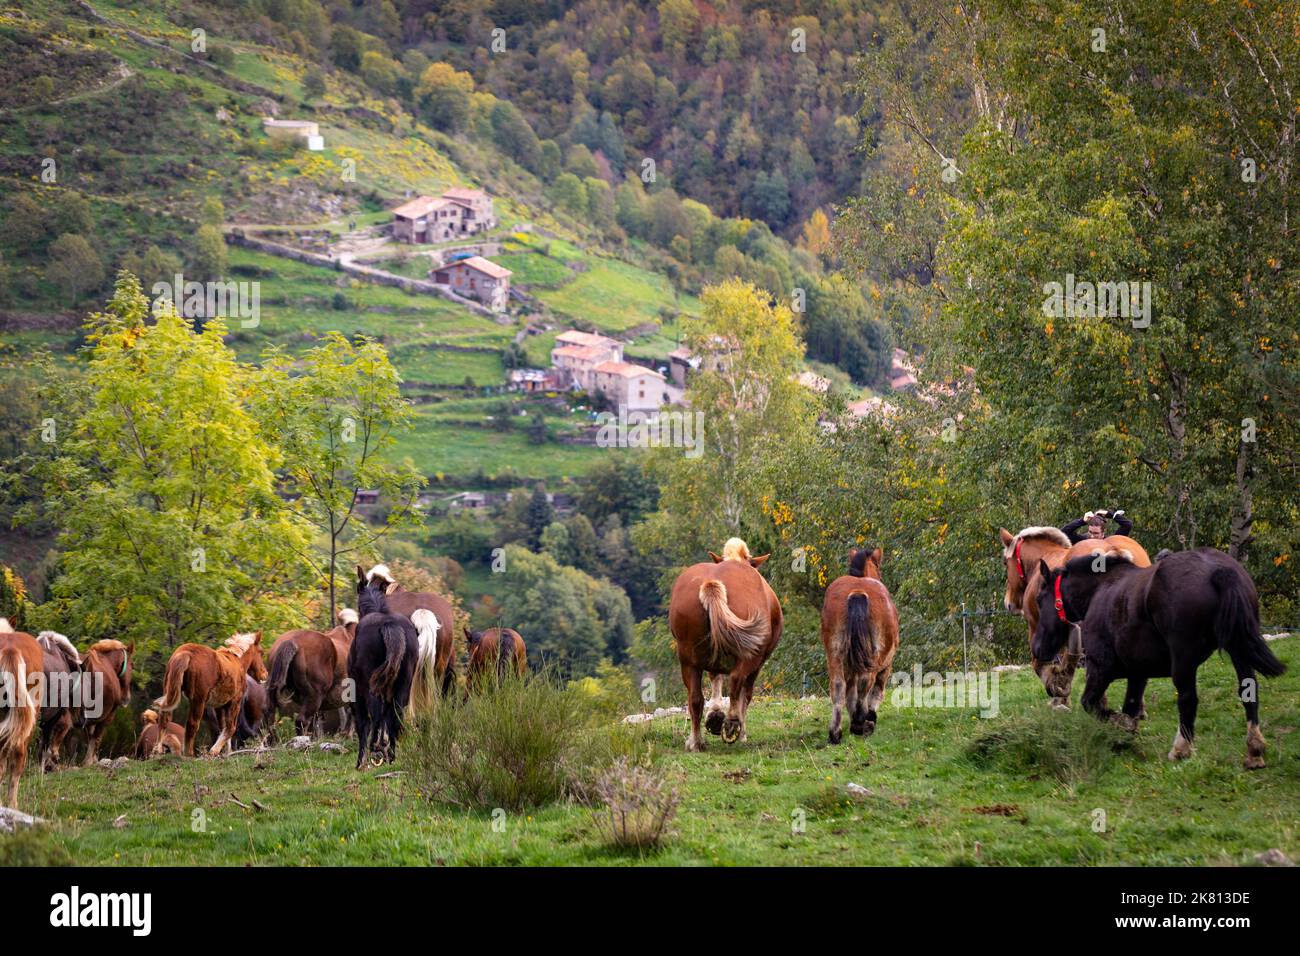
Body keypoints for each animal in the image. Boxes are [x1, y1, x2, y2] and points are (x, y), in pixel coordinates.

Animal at [349, 568, 418, 768]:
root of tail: (389, 625)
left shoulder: (357, 692)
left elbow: (363, 724)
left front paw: (361, 761)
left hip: (371, 685)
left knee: (375, 713)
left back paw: (376, 748)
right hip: (403, 684)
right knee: (396, 717)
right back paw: (390, 755)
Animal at [668, 537, 783, 751]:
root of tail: (712, 584)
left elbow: (715, 677)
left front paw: (714, 714)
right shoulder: (756, 665)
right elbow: (745, 694)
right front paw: (741, 730)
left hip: (687, 658)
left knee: (695, 698)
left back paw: (696, 742)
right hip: (750, 654)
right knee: (737, 681)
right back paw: (732, 724)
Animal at [821, 549, 900, 743]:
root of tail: (857, 591)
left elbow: (849, 691)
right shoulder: (886, 665)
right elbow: (877, 691)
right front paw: (868, 718)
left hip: (834, 653)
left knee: (838, 686)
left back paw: (836, 732)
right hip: (874, 658)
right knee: (866, 682)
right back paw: (860, 722)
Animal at [1031, 548, 1285, 769]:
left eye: (1040, 599)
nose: (1037, 648)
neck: (1101, 590)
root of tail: (1219, 569)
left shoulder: (1101, 668)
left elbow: (1092, 704)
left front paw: (1121, 726)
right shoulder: (1137, 673)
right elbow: (1130, 705)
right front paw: (1124, 736)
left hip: (1184, 660)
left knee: (1188, 699)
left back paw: (1181, 750)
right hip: (1238, 649)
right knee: (1248, 691)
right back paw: (1254, 751)